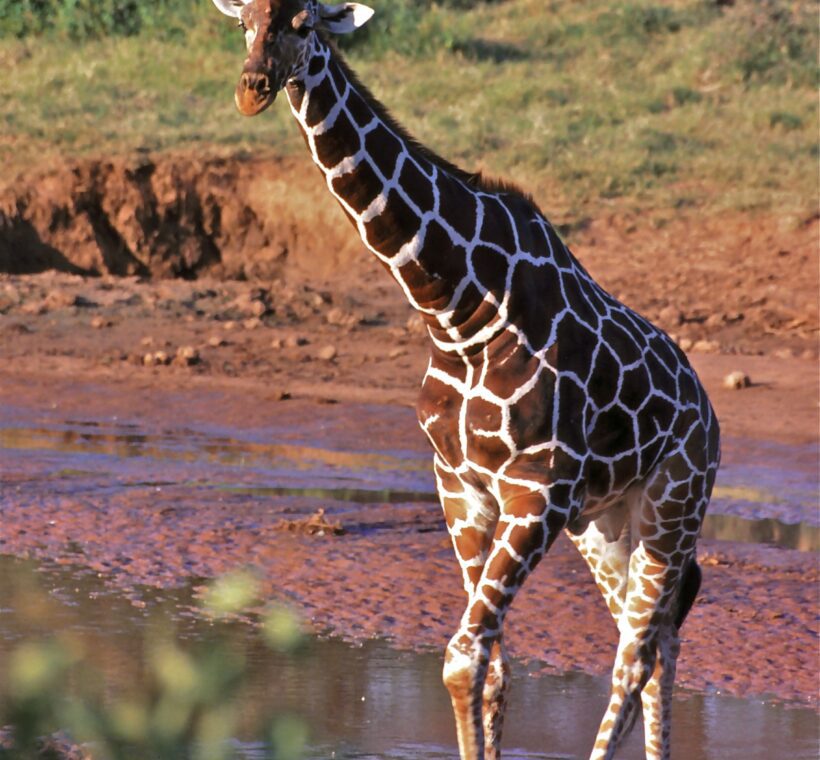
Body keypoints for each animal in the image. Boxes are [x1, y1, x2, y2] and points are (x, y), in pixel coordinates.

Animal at [213, 2, 724, 756]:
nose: (252, 88)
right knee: (656, 646)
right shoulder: (460, 486)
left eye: (304, 23)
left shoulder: (537, 493)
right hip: (607, 524)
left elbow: (462, 655)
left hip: (674, 505)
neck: (456, 311)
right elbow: (486, 667)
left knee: (634, 656)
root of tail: (708, 411)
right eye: (243, 22)